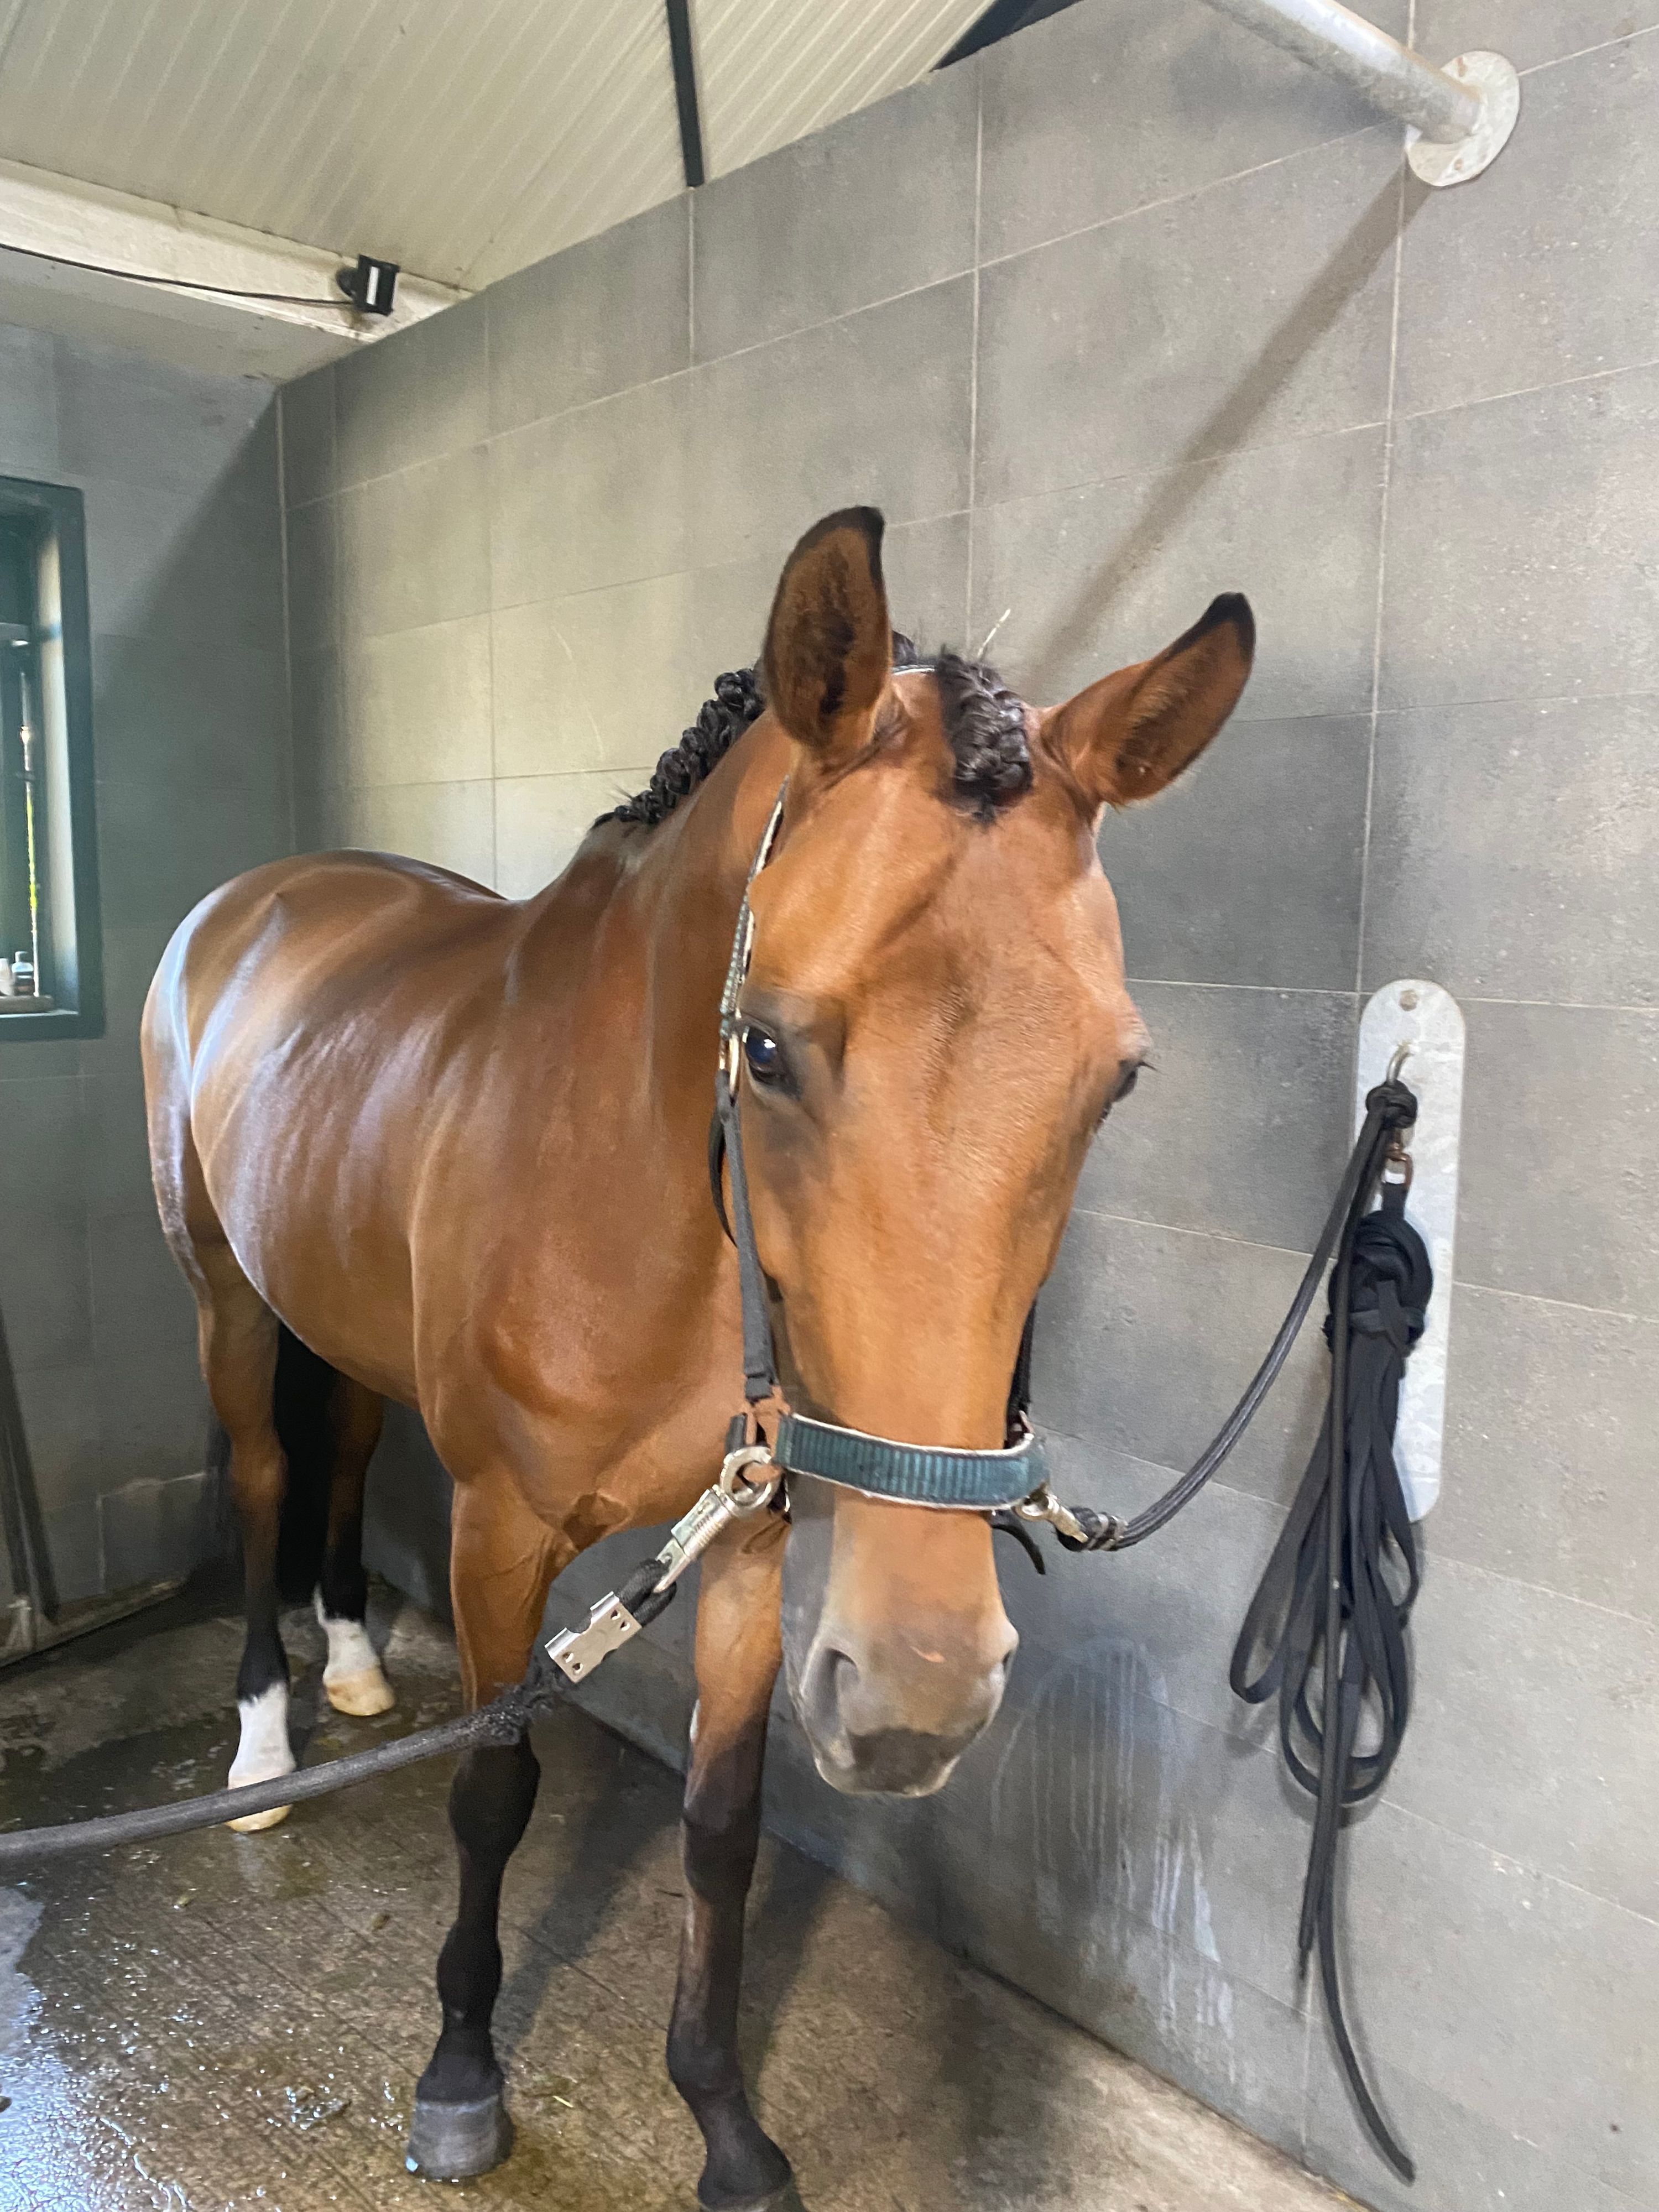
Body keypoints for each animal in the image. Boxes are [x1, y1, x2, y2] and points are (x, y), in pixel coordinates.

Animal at [142, 506, 1253, 2209]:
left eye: (1115, 1080)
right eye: (773, 1048)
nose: (923, 1693)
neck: (627, 1192)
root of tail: (252, 899)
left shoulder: (751, 1533)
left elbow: (722, 1825)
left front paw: (724, 2120)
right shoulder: (497, 1536)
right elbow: (495, 1791)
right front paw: (461, 2077)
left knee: (340, 1453)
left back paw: (350, 1668)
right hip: (224, 1294)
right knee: (267, 1474)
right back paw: (265, 1742)